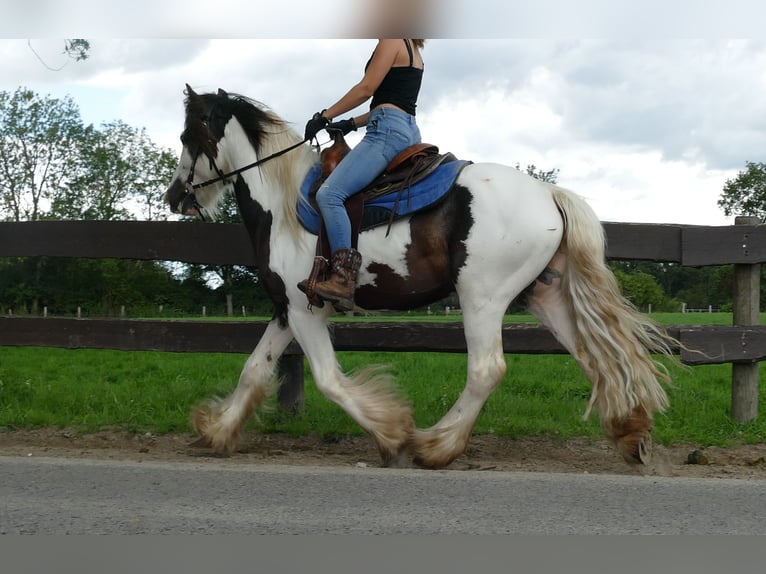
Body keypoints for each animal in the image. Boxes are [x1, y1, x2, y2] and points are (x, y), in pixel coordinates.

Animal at [166, 86, 680, 472]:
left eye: (188, 134)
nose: (175, 196)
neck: (284, 206)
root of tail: (549, 193)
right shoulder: (285, 310)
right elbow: (254, 369)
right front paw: (217, 431)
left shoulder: (305, 309)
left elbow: (329, 379)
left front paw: (392, 434)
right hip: (544, 295)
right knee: (596, 358)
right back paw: (630, 434)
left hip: (481, 297)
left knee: (487, 369)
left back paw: (436, 446)